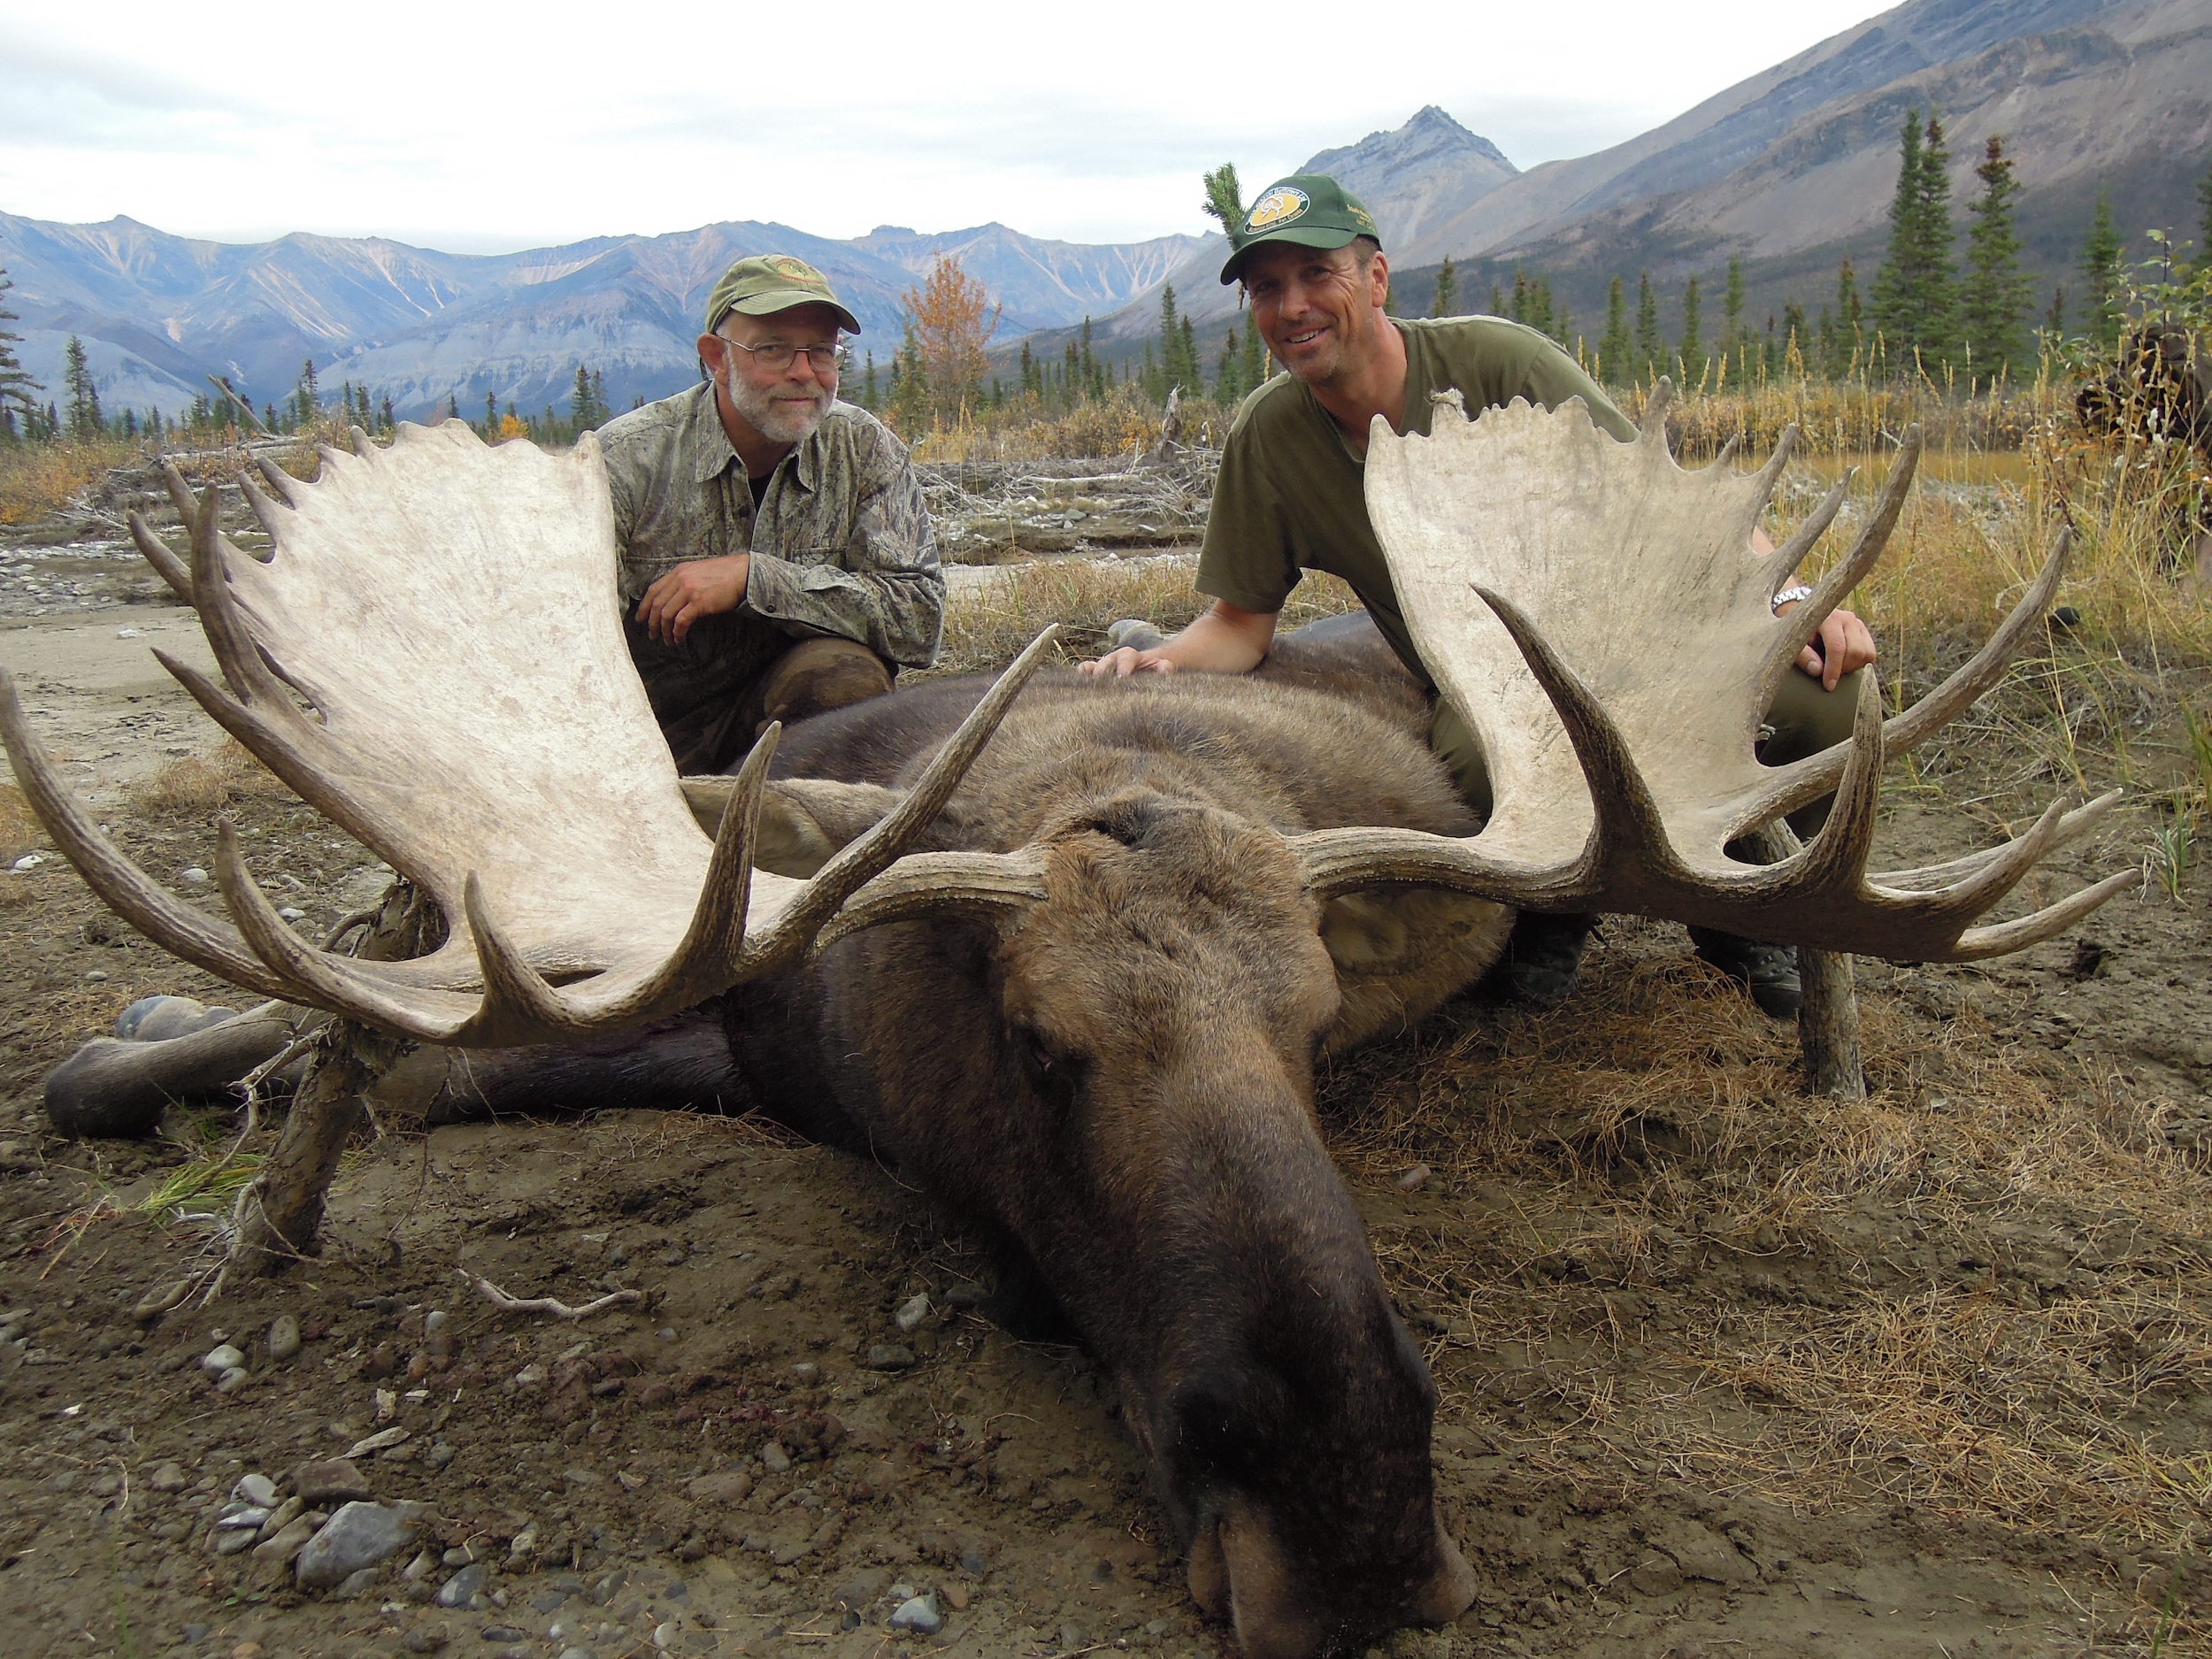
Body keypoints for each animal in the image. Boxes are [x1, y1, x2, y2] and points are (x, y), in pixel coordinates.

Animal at [0, 393, 2124, 1658]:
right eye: (1038, 1046)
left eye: (1323, 1031)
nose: (1351, 1513)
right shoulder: (741, 978)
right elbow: (358, 1050)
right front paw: (183, 1075)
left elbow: (419, 1061)